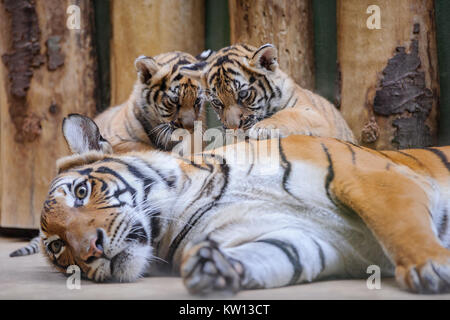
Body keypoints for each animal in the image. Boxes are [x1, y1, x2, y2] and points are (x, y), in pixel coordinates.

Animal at [39, 114, 450, 294]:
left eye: (80, 192)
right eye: (58, 248)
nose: (90, 251)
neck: (184, 205)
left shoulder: (366, 175)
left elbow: (402, 226)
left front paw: (431, 266)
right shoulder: (310, 239)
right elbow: (275, 255)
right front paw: (214, 268)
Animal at [179, 43, 356, 143]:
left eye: (243, 94)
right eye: (216, 102)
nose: (234, 127)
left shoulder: (315, 114)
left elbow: (290, 113)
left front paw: (264, 127)